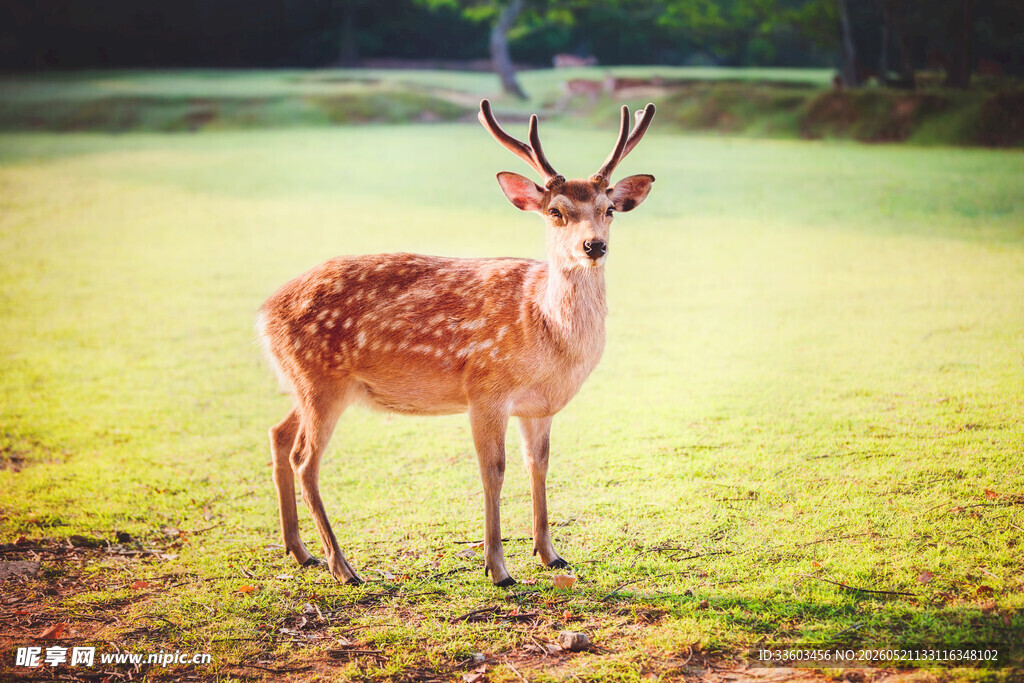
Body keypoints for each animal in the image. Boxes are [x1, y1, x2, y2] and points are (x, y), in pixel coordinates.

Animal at [257, 99, 656, 587]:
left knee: (278, 435)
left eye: (609, 209)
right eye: (556, 211)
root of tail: (264, 313)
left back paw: (299, 551)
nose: (593, 246)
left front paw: (550, 554)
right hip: (319, 380)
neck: (546, 332)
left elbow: (538, 464)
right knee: (304, 459)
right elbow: (493, 471)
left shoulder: (539, 406)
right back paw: (343, 566)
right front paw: (498, 568)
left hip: (306, 383)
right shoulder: (485, 389)